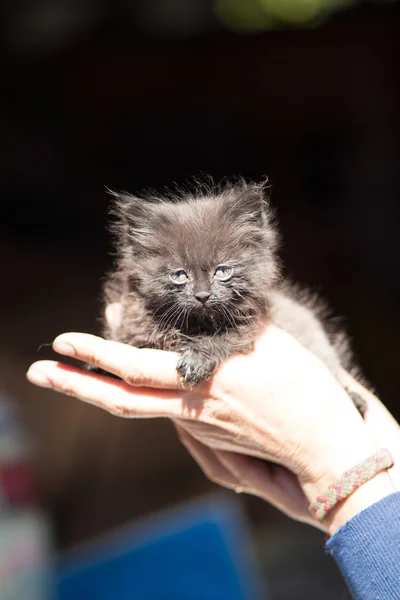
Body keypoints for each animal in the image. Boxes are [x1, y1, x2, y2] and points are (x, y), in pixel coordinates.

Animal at [101, 180, 366, 414]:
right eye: (179, 275)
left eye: (222, 271)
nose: (202, 295)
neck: (196, 324)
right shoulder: (133, 320)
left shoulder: (251, 322)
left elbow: (225, 337)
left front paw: (197, 359)